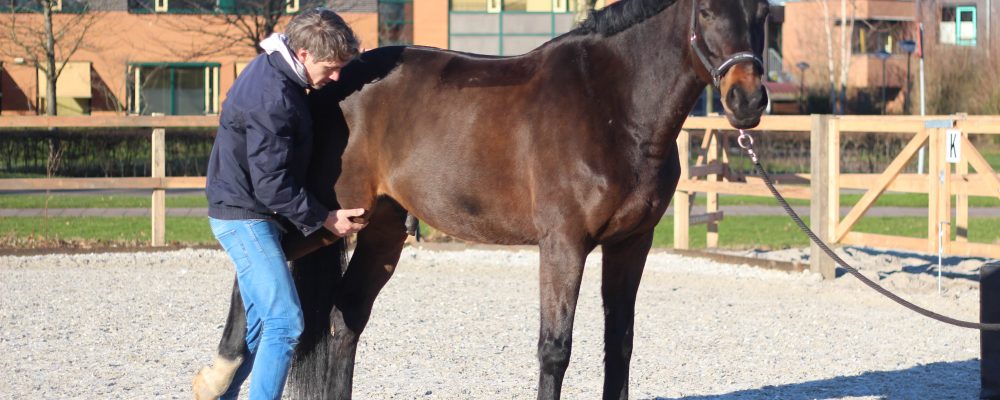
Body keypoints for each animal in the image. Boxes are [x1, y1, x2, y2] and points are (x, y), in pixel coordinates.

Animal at [193, 0, 769, 398]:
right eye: (707, 11)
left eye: (762, 11)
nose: (747, 99)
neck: (610, 105)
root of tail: (326, 87)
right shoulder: (563, 244)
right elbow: (555, 348)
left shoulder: (632, 244)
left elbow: (619, 343)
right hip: (324, 218)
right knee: (256, 259)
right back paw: (216, 375)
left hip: (378, 229)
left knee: (344, 315)